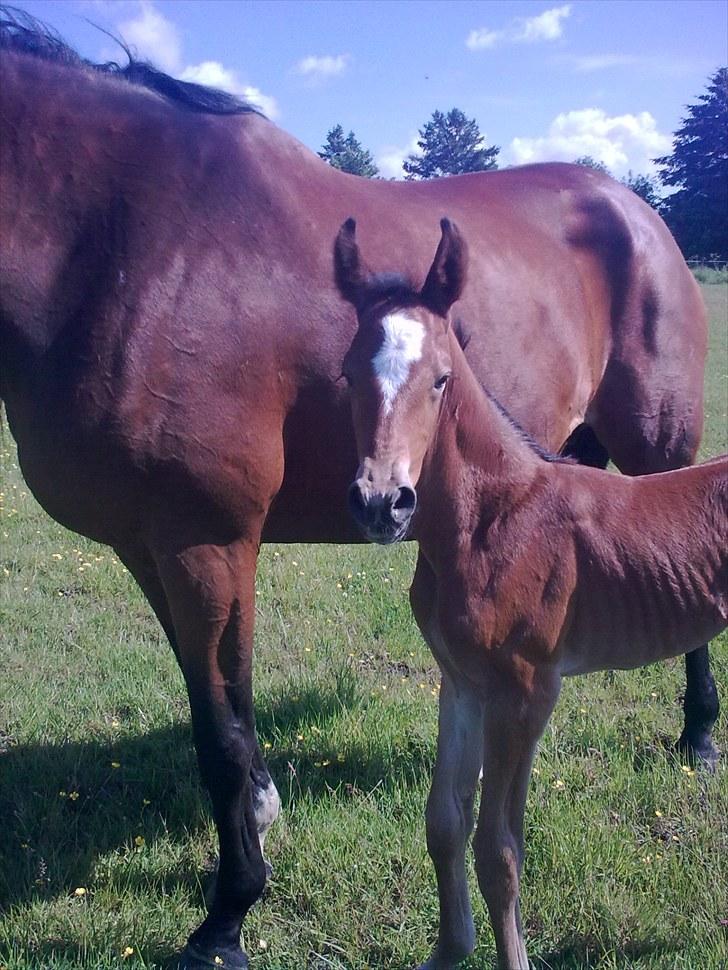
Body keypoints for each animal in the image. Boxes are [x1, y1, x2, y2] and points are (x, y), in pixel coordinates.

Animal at [332, 219, 724, 968]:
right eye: (347, 374)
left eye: (441, 378)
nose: (380, 503)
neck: (494, 518)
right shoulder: (462, 681)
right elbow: (444, 822)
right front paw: (449, 950)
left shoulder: (525, 691)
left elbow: (499, 850)